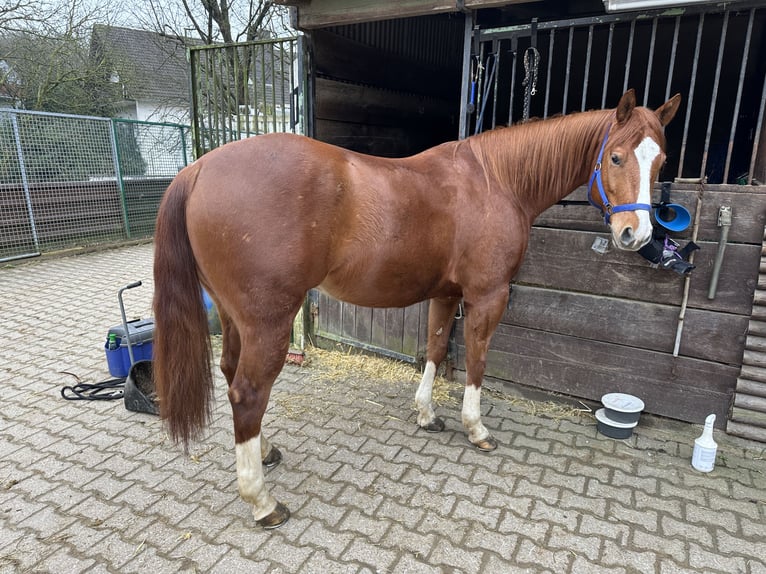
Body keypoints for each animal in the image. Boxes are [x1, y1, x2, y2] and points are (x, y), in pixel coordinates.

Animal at [152, 89, 681, 529]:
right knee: (247, 392)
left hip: (236, 317)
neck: (495, 181)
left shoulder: (445, 294)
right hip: (269, 322)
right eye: (615, 156)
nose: (637, 235)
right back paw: (263, 502)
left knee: (230, 372)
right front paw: (476, 428)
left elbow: (434, 348)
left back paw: (264, 453)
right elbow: (476, 361)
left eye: (661, 161)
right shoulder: (488, 294)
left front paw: (428, 414)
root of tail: (197, 170)